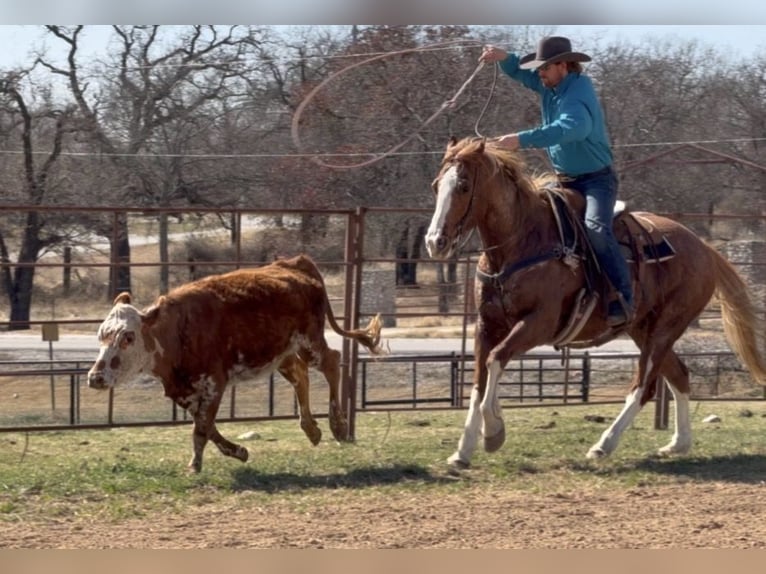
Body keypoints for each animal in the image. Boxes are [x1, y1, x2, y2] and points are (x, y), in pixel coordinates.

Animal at [425, 136, 766, 468]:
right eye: (436, 185)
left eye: (463, 185)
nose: (434, 242)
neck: (522, 240)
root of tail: (704, 249)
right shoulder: (487, 324)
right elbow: (478, 382)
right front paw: (463, 451)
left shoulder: (539, 322)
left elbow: (495, 360)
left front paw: (493, 431)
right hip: (644, 329)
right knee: (679, 374)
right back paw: (678, 444)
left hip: (666, 327)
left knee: (643, 386)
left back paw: (604, 445)